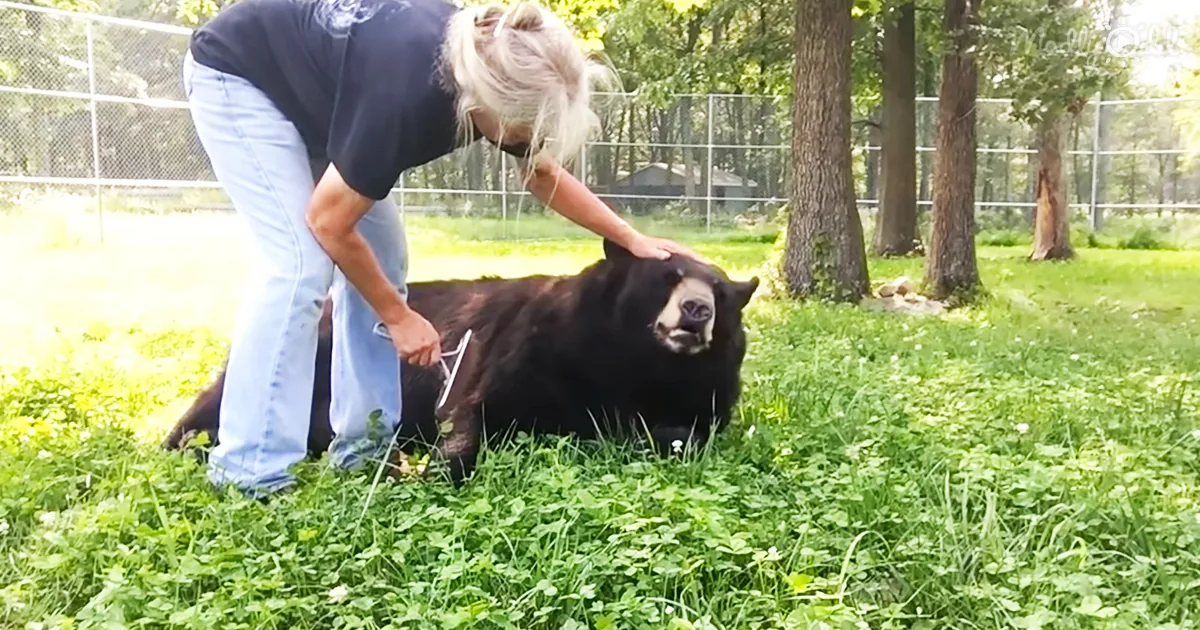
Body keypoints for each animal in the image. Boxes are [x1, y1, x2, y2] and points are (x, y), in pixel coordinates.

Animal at [162, 238, 760, 485]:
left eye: (721, 293)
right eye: (667, 276)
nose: (696, 310)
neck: (641, 362)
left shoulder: (700, 387)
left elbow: (689, 429)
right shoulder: (533, 346)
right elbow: (478, 409)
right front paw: (442, 468)